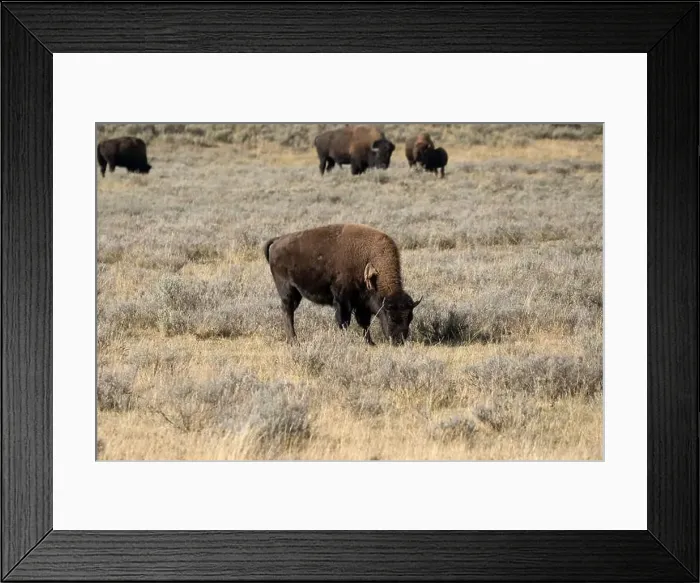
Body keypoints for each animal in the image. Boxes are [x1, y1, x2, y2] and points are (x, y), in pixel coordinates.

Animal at [264, 223, 421, 345]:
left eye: (410, 317)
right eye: (390, 316)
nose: (399, 341)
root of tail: (277, 241)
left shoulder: (362, 303)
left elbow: (364, 323)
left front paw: (370, 343)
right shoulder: (343, 300)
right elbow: (344, 321)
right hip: (287, 290)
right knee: (288, 312)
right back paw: (294, 341)